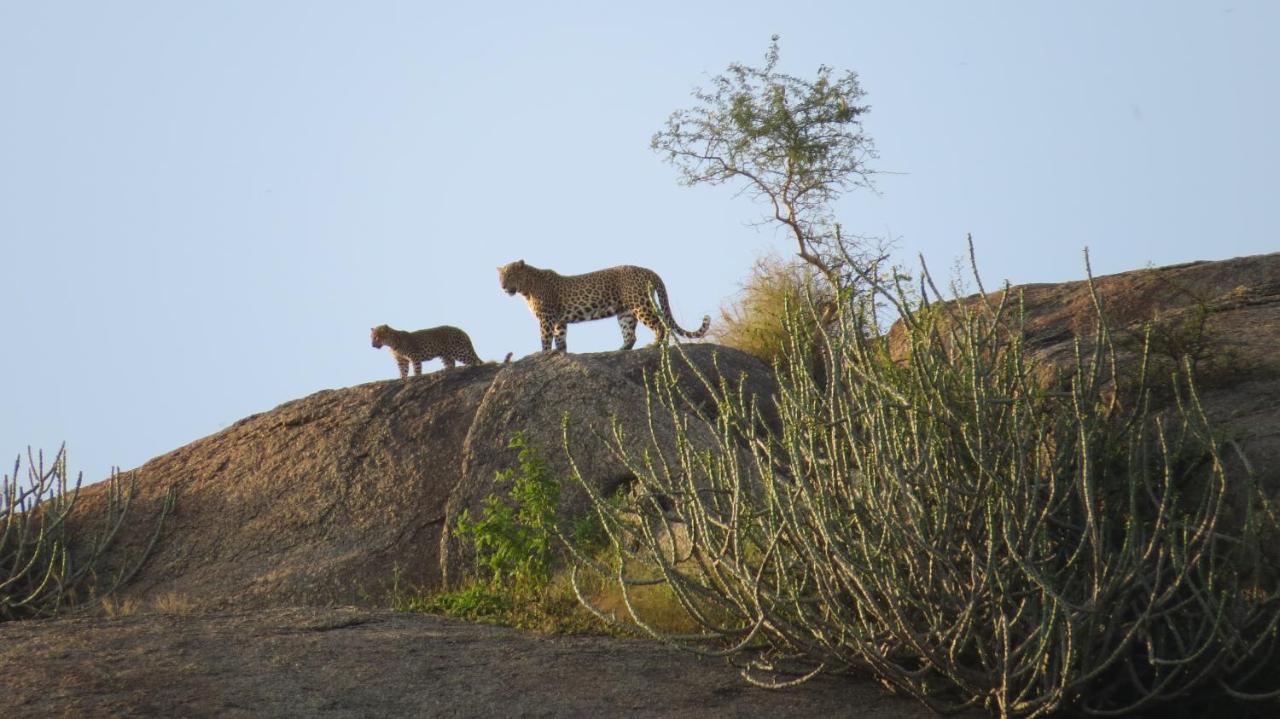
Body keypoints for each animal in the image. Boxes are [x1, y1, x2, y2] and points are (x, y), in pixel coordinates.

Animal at [494, 259, 711, 353]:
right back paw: (621, 349)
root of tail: (647, 270)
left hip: (639, 304)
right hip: (625, 312)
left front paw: (544, 353)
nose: (503, 287)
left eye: (510, 275)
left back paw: (655, 345)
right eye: (500, 277)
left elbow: (545, 338)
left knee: (660, 325)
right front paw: (560, 352)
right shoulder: (559, 320)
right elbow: (560, 337)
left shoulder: (546, 318)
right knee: (630, 334)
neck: (527, 287)